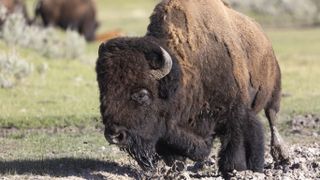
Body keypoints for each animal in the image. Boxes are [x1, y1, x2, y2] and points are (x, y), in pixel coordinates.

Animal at [96, 0, 288, 177]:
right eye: (103, 93)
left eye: (142, 94)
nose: (114, 135)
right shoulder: (169, 129)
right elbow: (175, 156)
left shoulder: (235, 115)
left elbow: (235, 146)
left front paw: (235, 170)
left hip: (273, 93)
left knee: (272, 119)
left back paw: (282, 157)